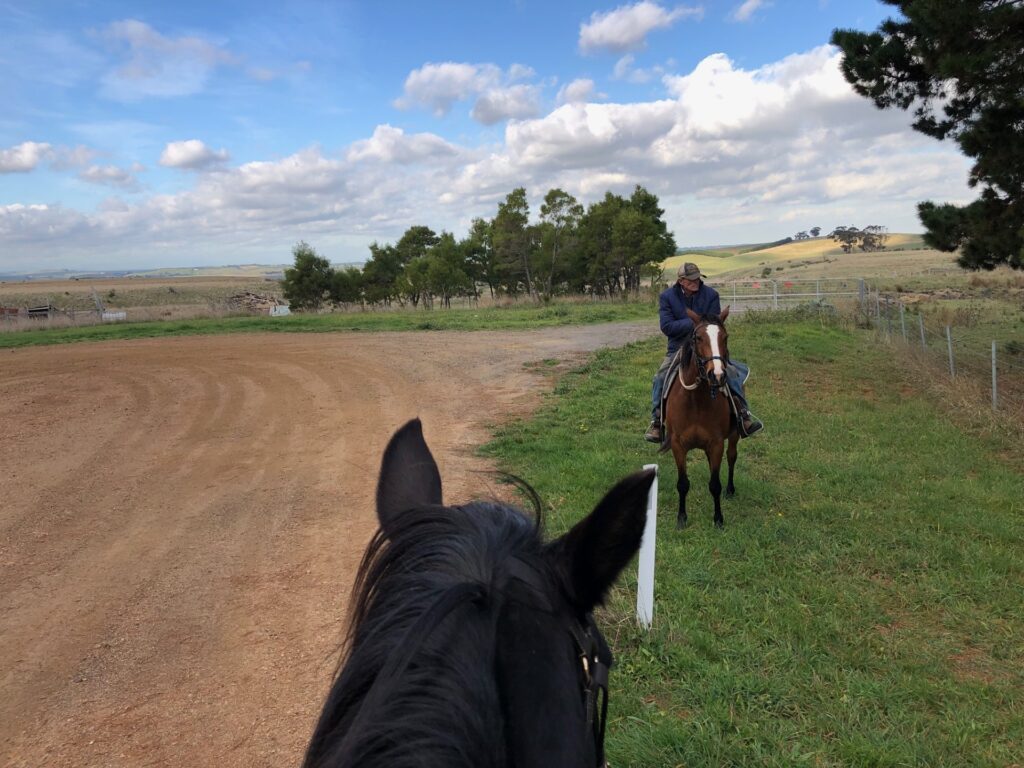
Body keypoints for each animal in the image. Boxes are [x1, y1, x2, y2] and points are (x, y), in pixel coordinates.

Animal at [663, 307, 737, 528]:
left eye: (725, 337)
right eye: (697, 338)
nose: (718, 375)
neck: (695, 400)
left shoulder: (716, 444)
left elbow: (715, 484)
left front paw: (718, 519)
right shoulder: (678, 445)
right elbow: (682, 484)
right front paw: (681, 518)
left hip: (734, 436)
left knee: (732, 456)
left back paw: (731, 489)